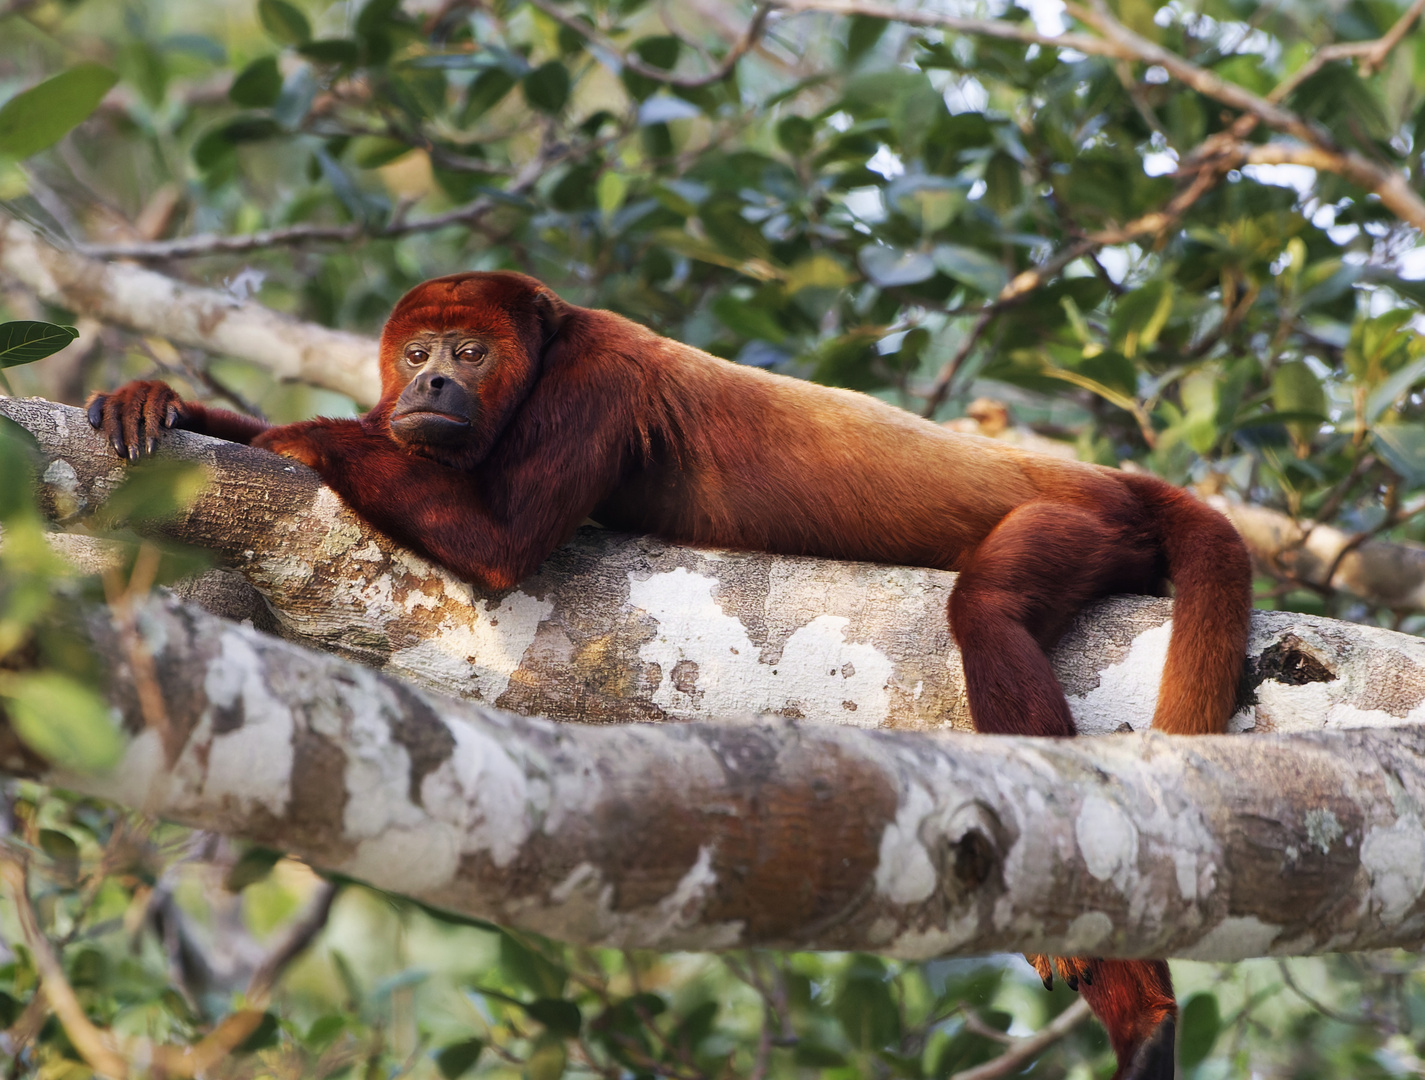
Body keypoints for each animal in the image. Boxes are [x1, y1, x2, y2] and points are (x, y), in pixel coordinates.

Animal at [89, 272, 1248, 1080]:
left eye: (469, 349)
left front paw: (297, 431)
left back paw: (1138, 1009)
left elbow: (496, 539)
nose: (430, 382)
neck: (545, 352)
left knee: (991, 614)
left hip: (1079, 522)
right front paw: (169, 404)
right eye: (415, 349)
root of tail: (1114, 477)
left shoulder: (598, 379)